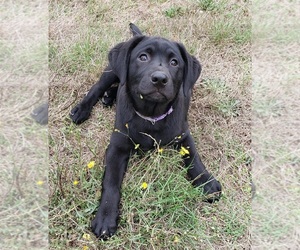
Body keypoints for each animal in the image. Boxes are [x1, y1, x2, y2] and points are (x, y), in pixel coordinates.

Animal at [69, 23, 220, 238]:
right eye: (143, 57)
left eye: (174, 62)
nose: (160, 79)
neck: (151, 116)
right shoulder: (117, 147)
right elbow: (111, 183)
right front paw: (105, 217)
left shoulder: (183, 134)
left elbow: (194, 158)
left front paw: (206, 181)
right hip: (111, 70)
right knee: (99, 87)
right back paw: (83, 108)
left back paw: (110, 96)